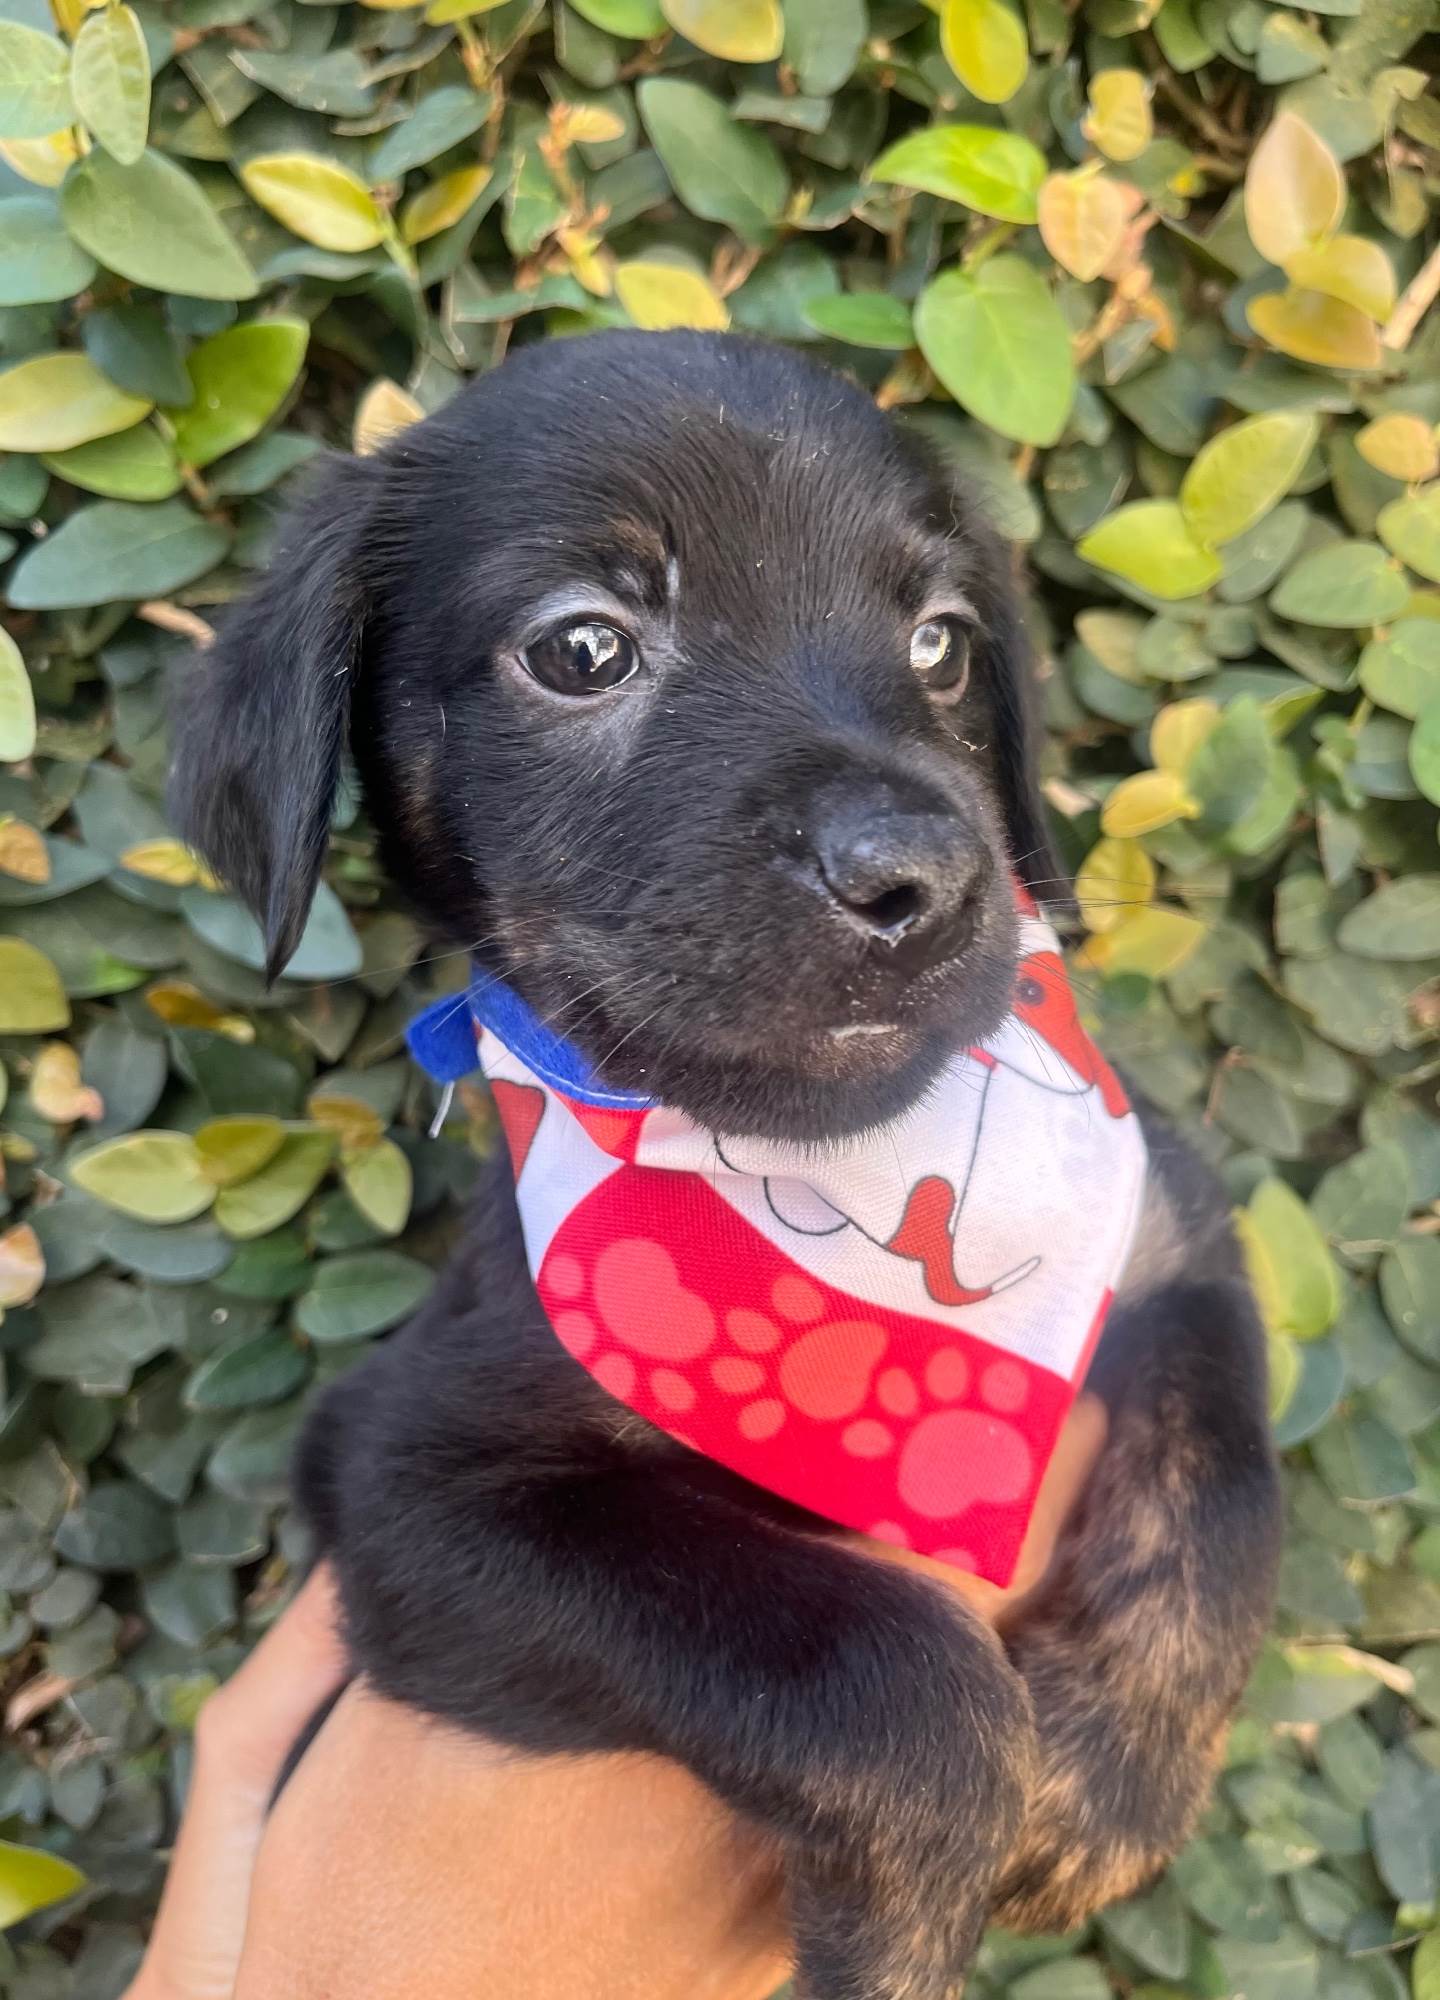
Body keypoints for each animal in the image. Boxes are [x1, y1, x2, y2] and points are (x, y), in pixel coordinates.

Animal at [170, 331, 1281, 2000]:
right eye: (581, 650)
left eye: (944, 643)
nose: (919, 877)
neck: (846, 1174)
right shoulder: (400, 1484)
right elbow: (880, 1662)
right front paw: (906, 1929)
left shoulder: (1167, 1232)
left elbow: (1224, 1482)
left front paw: (1110, 1779)